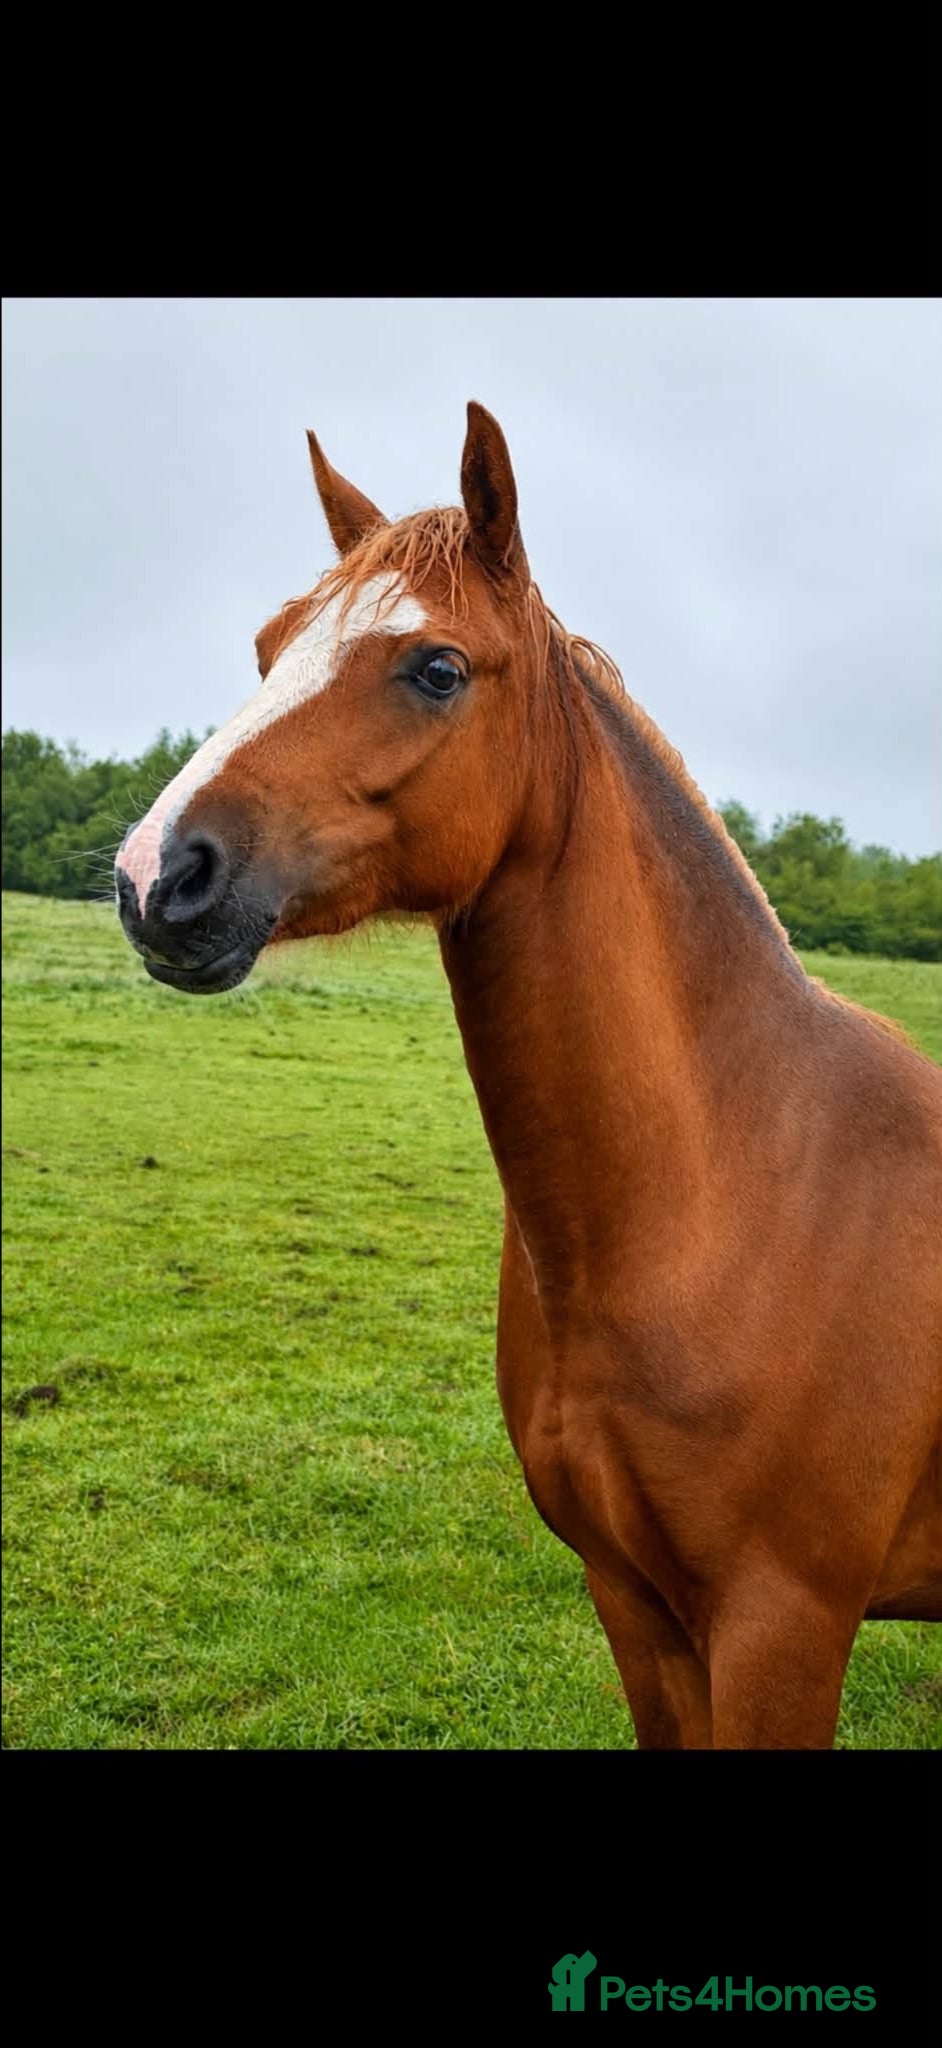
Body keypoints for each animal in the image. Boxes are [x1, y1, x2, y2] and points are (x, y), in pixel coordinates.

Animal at [114, 403, 942, 1748]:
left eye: (438, 668)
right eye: (269, 647)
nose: (155, 875)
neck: (743, 1191)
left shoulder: (784, 1627)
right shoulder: (638, 1610)